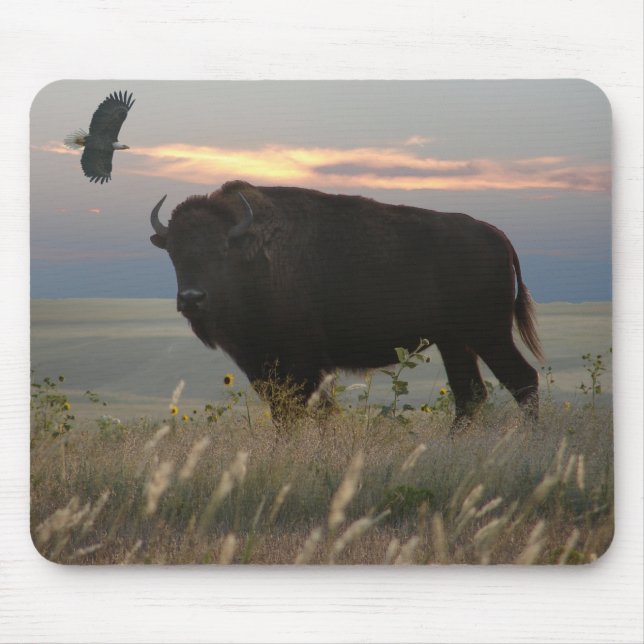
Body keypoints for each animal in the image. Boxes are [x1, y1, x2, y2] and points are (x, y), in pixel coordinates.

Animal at [149, 180, 543, 425]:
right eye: (174, 252)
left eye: (220, 251)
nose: (191, 298)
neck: (252, 254)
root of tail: (498, 237)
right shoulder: (263, 364)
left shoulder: (301, 362)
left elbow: (298, 411)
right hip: (455, 342)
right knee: (471, 395)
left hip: (489, 334)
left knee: (522, 380)